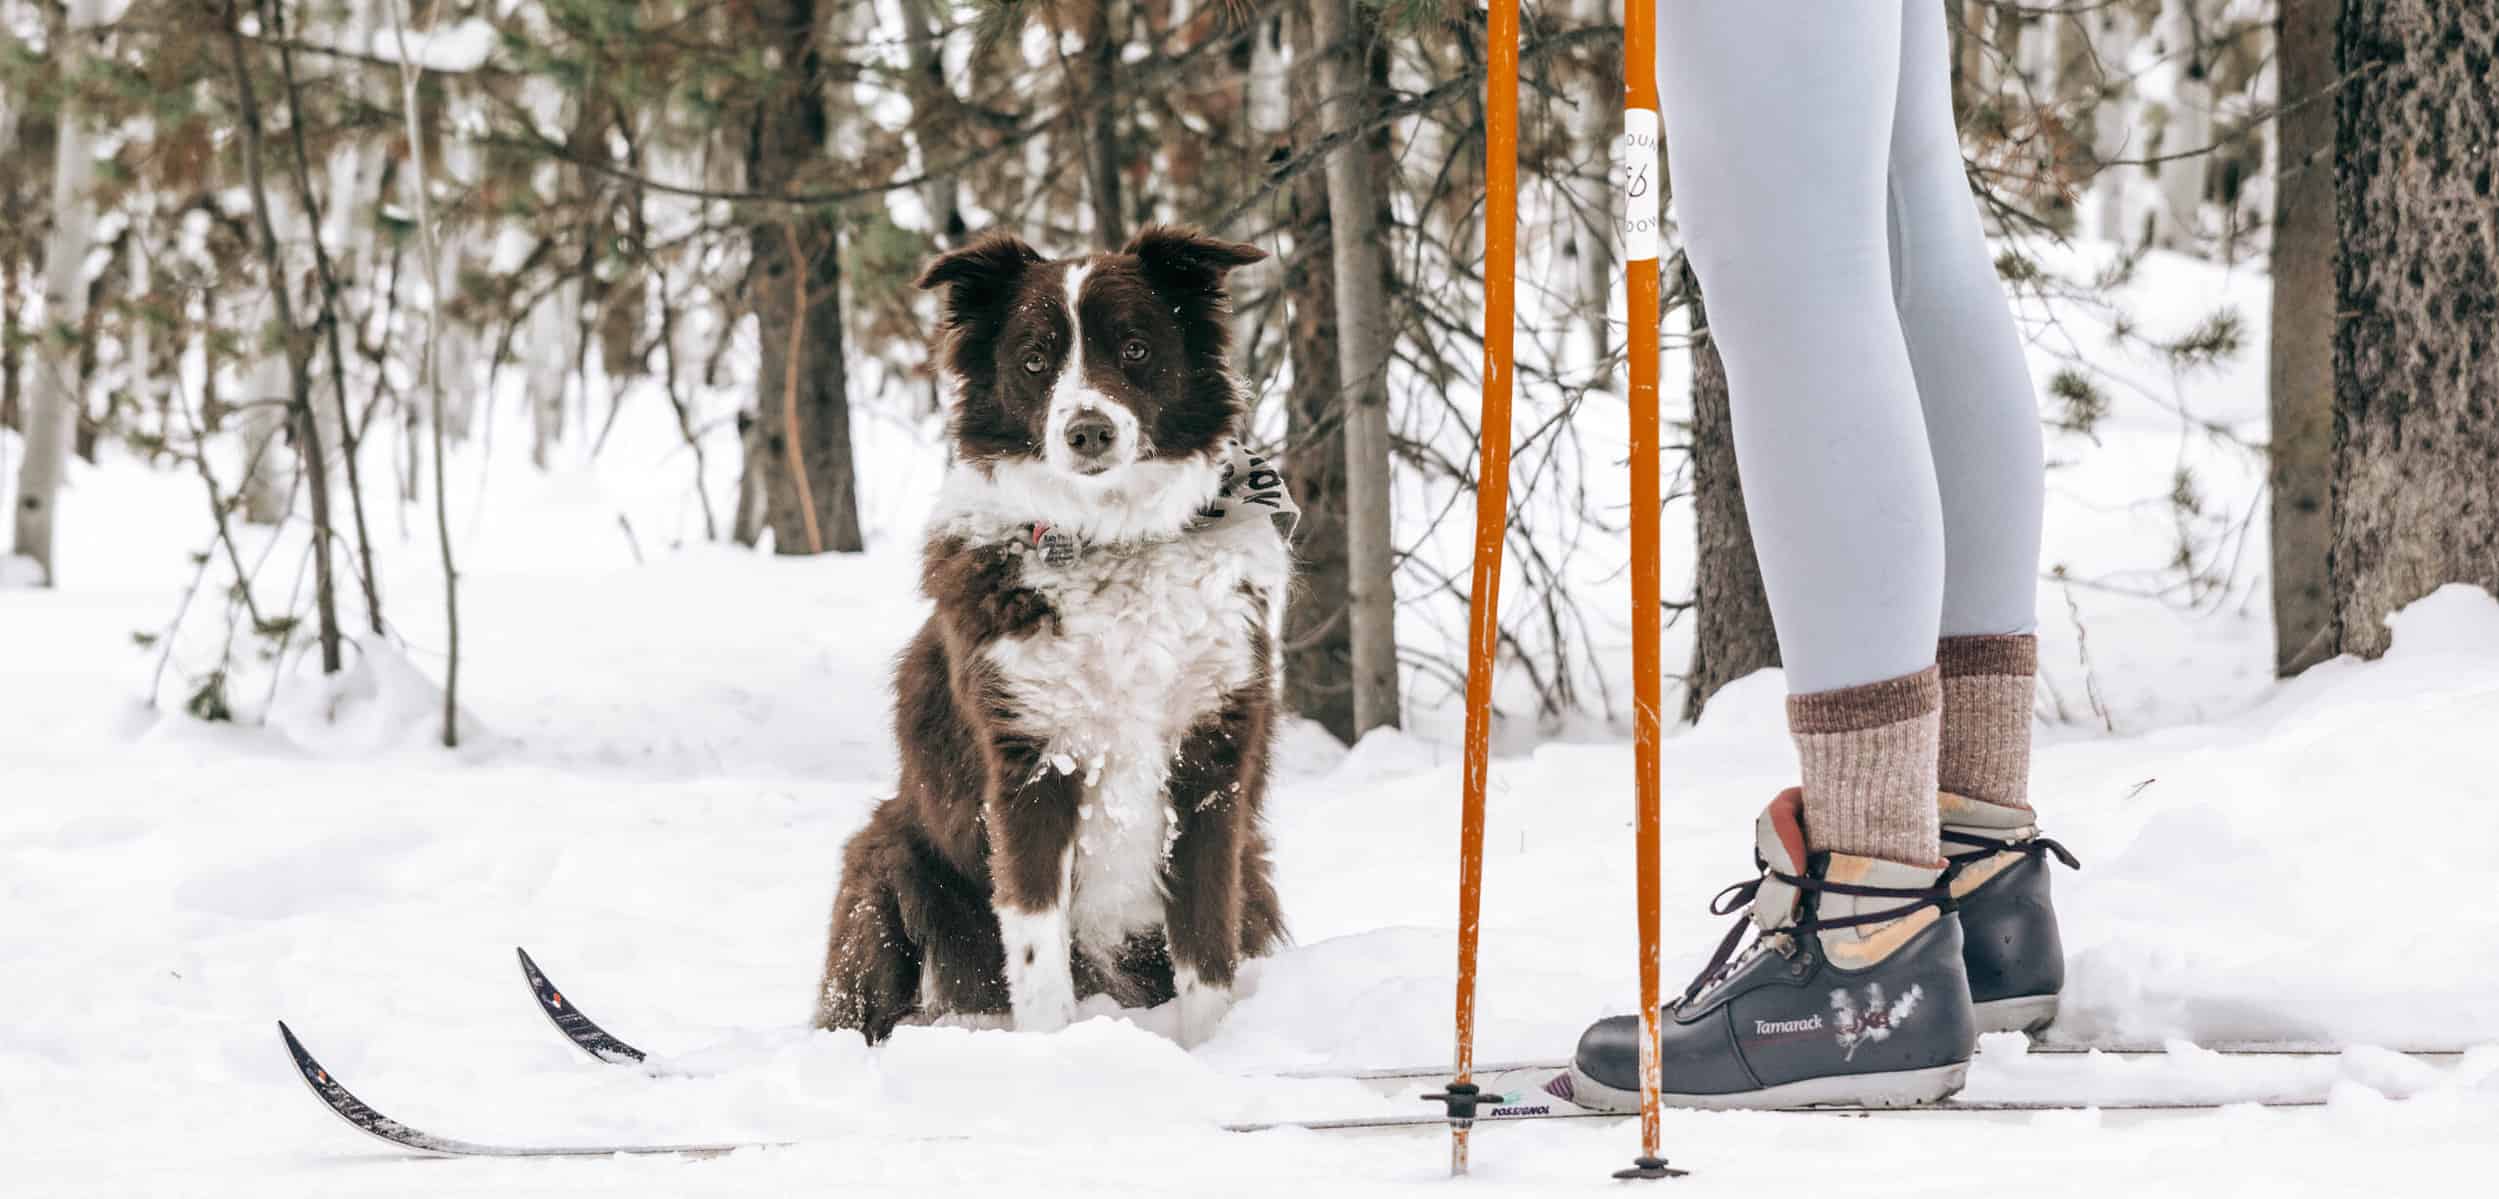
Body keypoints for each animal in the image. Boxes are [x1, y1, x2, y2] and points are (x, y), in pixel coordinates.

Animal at [819, 227, 1289, 1049]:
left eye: (1134, 347)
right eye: (1035, 360)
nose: (1088, 430)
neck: (1112, 539)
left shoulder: (1210, 765)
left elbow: (1205, 948)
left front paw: (1208, 1053)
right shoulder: (1031, 765)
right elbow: (1037, 953)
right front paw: (1052, 1055)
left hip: (1254, 872)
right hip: (888, 860)